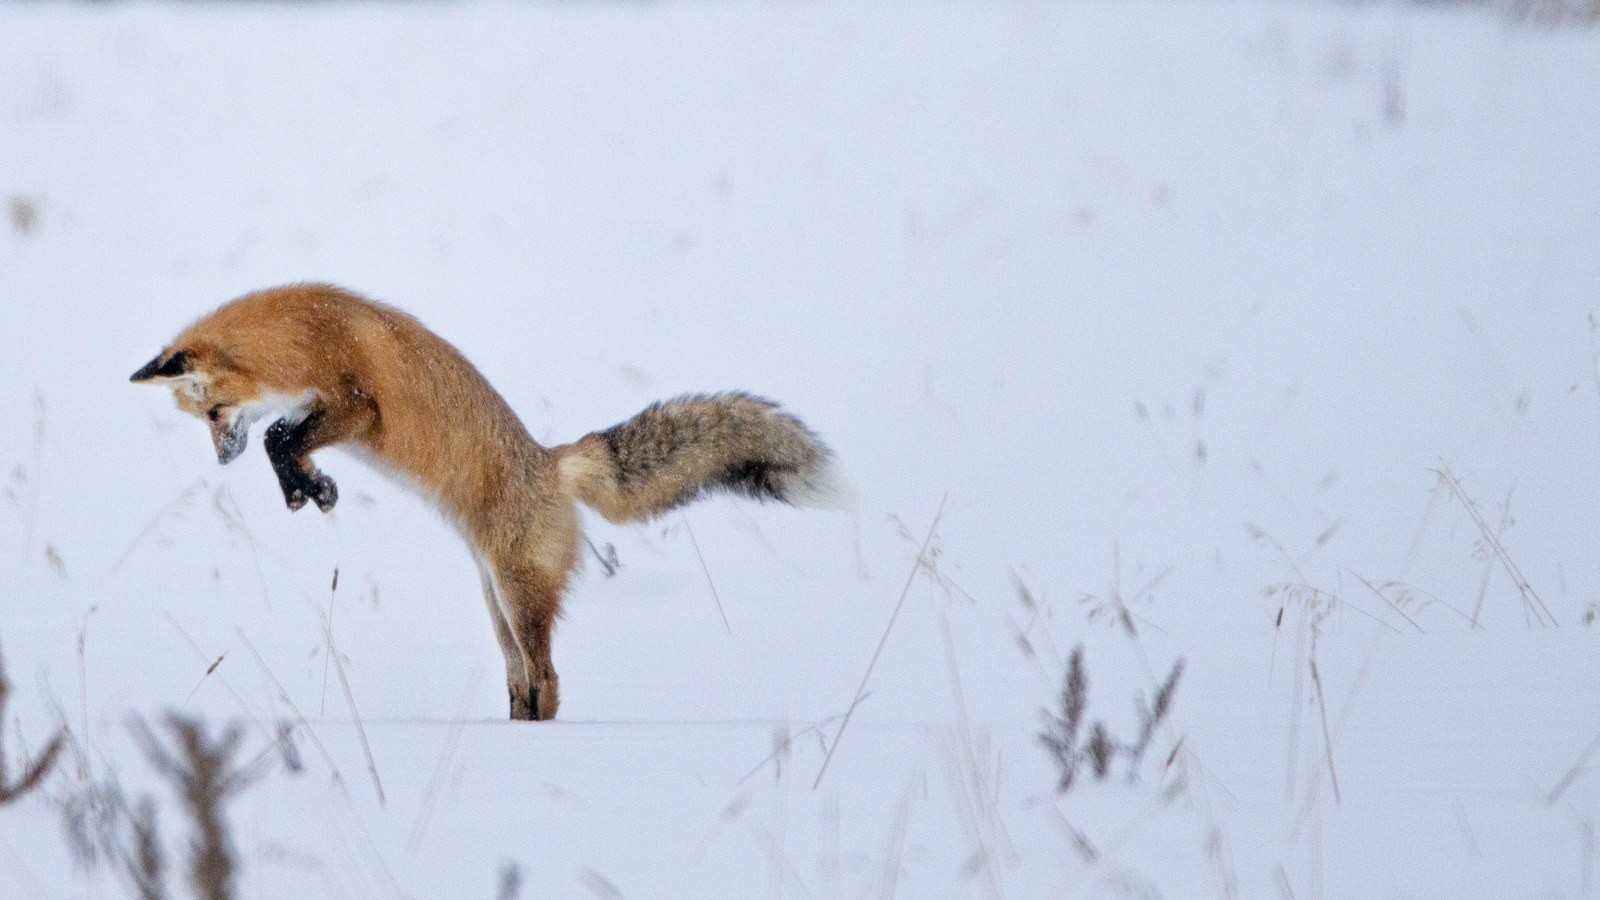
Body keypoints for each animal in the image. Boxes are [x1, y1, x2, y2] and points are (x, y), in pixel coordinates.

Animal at [131, 283, 841, 721]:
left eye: (213, 413)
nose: (222, 460)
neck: (301, 334)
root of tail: (552, 461)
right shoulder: (320, 410)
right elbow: (284, 443)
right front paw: (310, 489)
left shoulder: (358, 406)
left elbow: (279, 436)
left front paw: (312, 487)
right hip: (497, 608)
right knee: (523, 683)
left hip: (520, 598)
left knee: (548, 681)